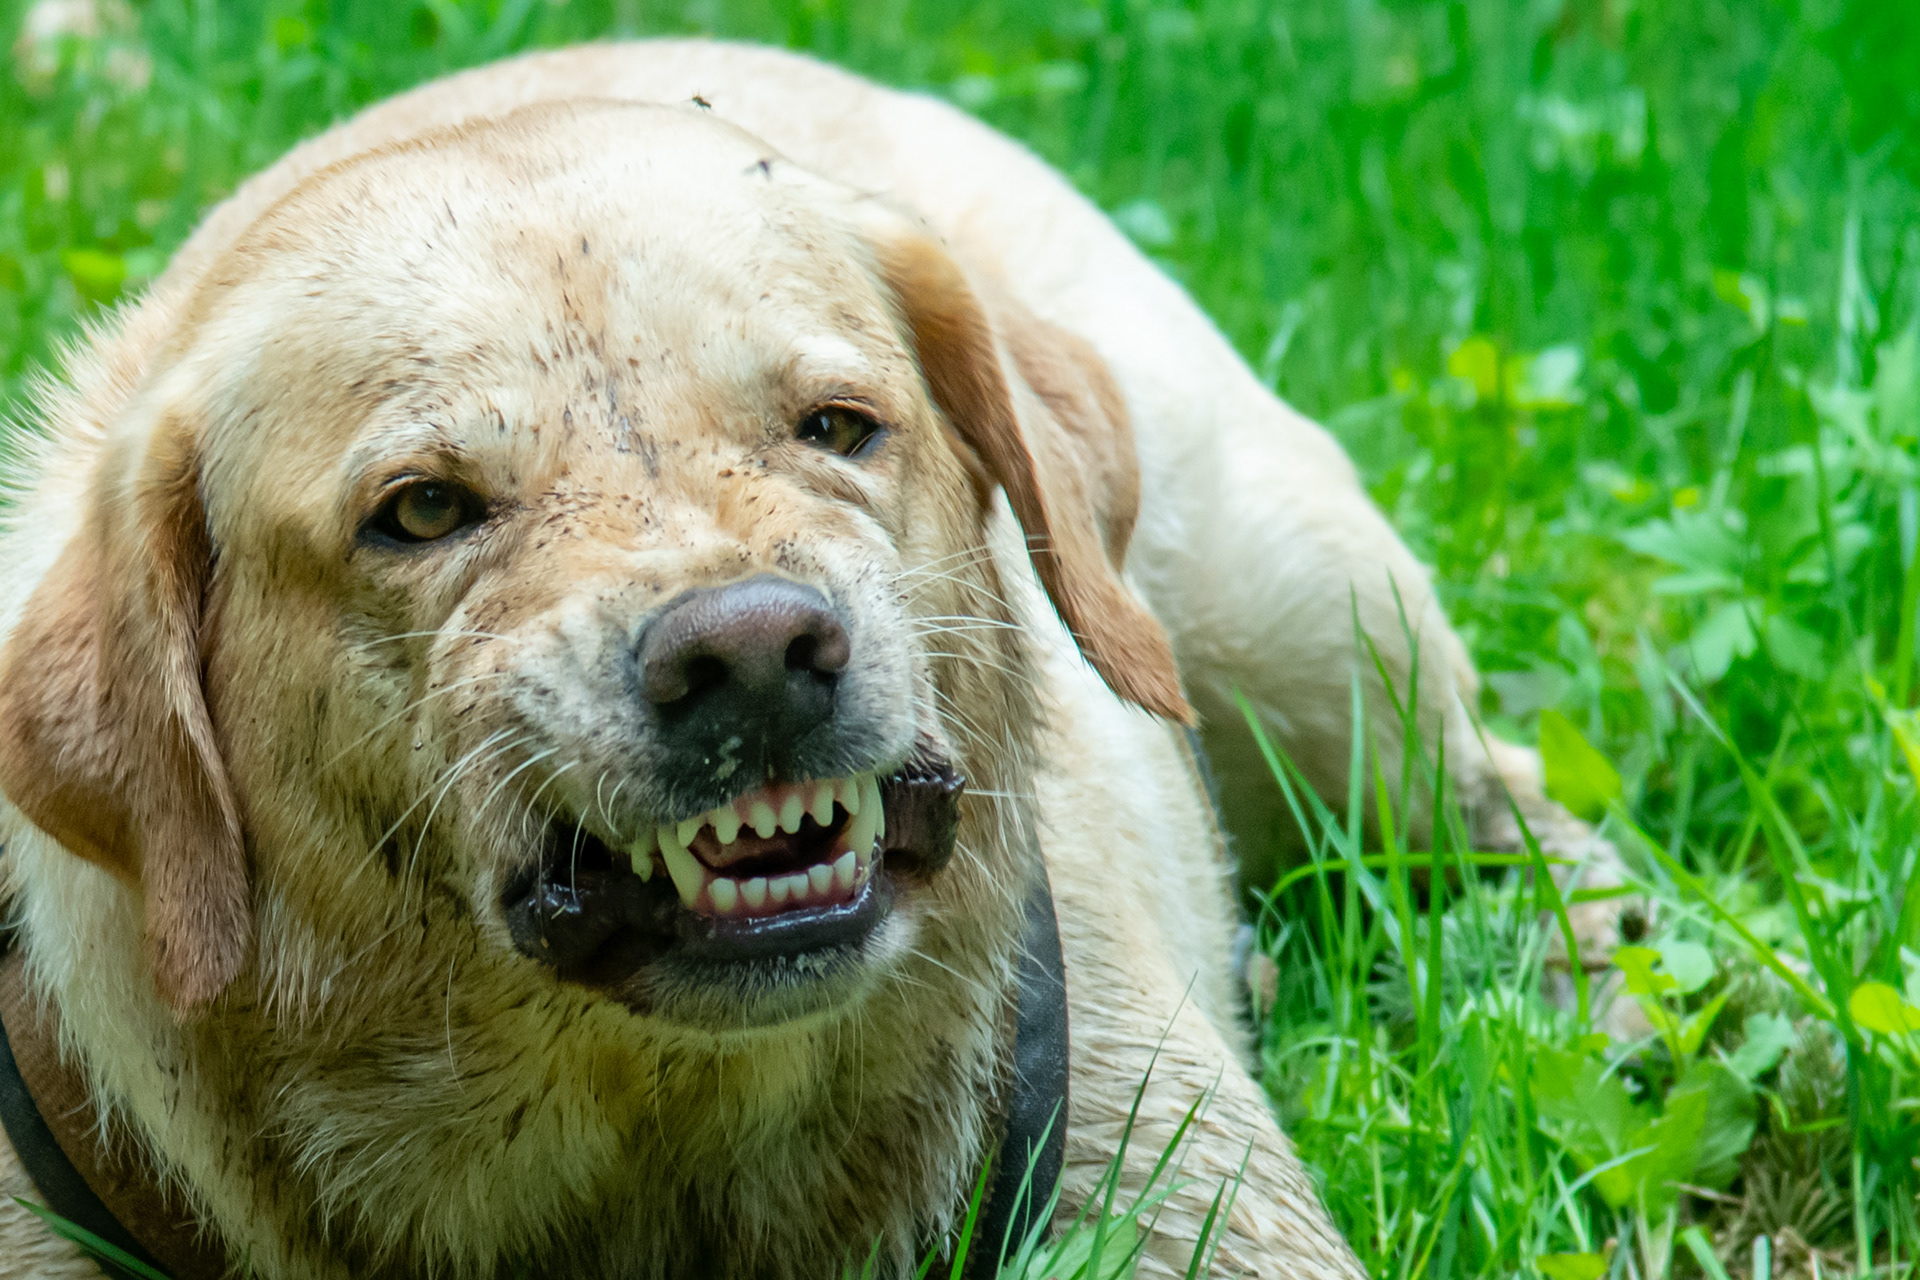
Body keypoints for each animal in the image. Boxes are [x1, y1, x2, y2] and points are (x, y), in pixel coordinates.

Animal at [0, 39, 1627, 1280]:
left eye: (839, 426)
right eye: (422, 511)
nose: (753, 650)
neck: (649, 1146)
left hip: (1305, 639)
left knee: (1516, 808)